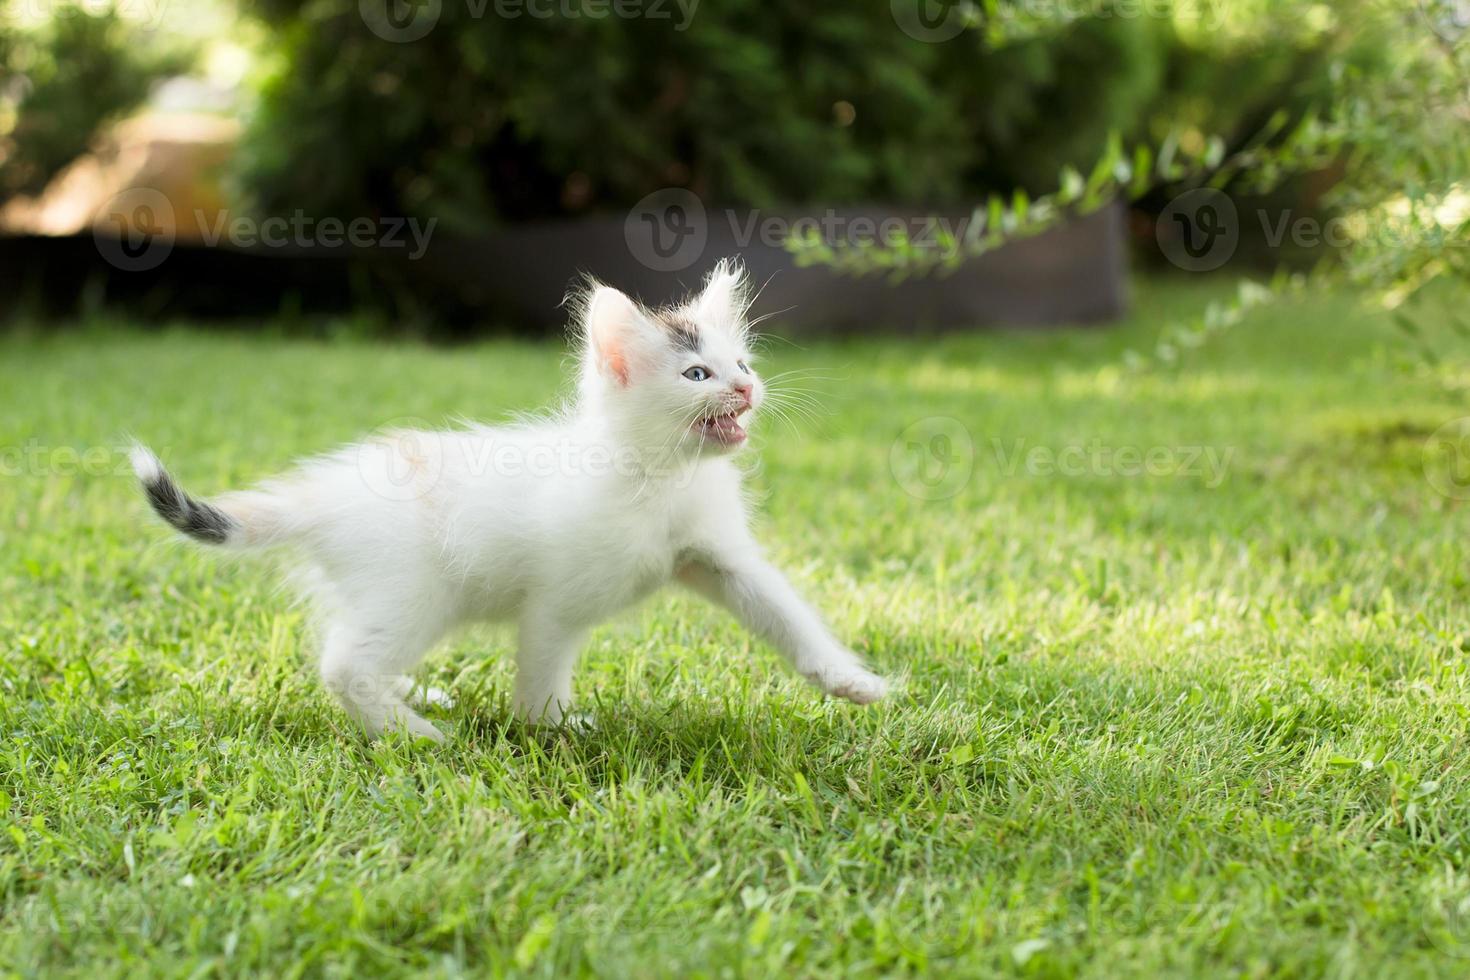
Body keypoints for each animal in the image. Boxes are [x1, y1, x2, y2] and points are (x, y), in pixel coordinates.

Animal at [138, 262, 887, 743]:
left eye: (744, 365)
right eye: (697, 375)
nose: (748, 390)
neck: (659, 477)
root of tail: (324, 492)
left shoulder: (717, 555)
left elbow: (784, 614)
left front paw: (850, 682)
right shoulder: (555, 600)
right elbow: (543, 669)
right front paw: (551, 732)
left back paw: (414, 697)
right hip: (415, 591)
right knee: (344, 666)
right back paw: (417, 735)